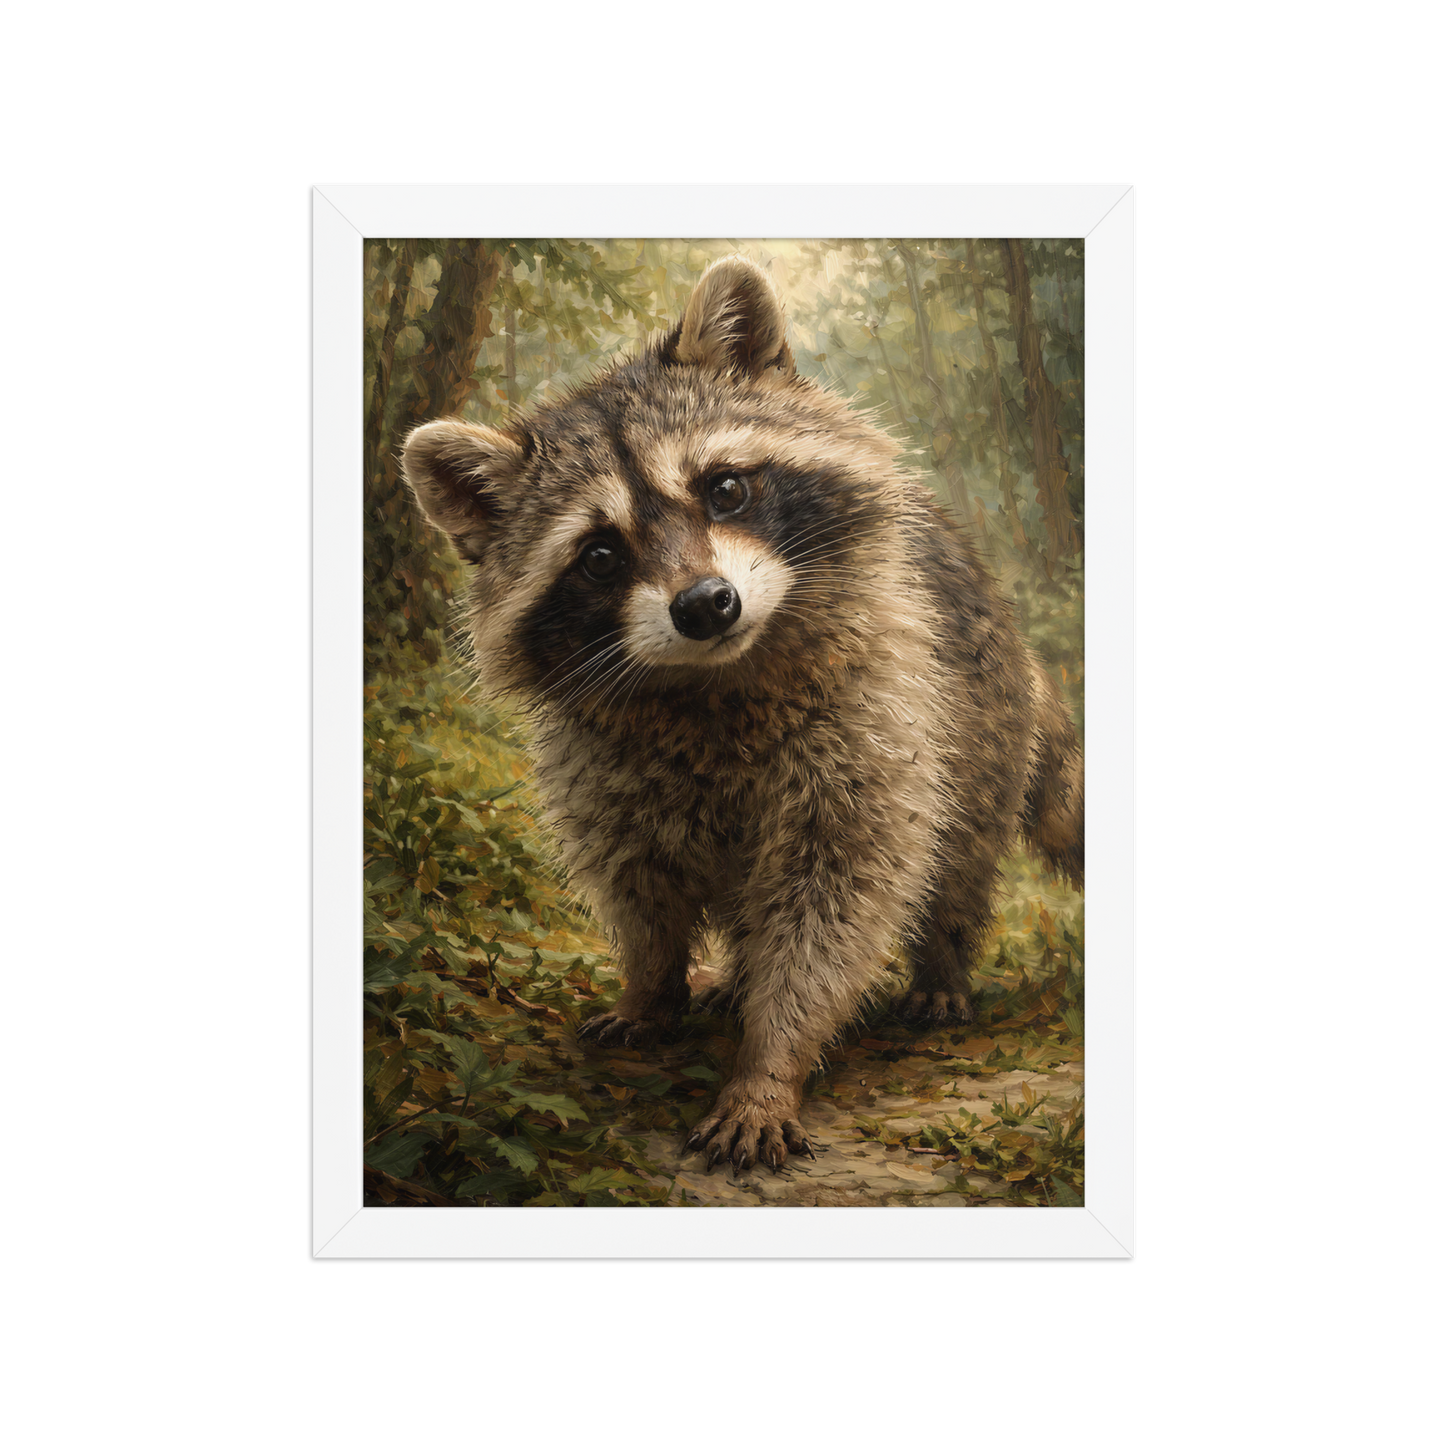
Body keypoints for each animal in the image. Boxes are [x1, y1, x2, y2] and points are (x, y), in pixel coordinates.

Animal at [401, 255, 1083, 1176]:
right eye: (599, 554)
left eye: (724, 488)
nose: (704, 605)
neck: (713, 681)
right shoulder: (599, 765)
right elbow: (637, 886)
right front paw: (651, 987)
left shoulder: (875, 717)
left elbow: (835, 902)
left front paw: (769, 1062)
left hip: (979, 721)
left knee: (958, 856)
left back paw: (940, 963)